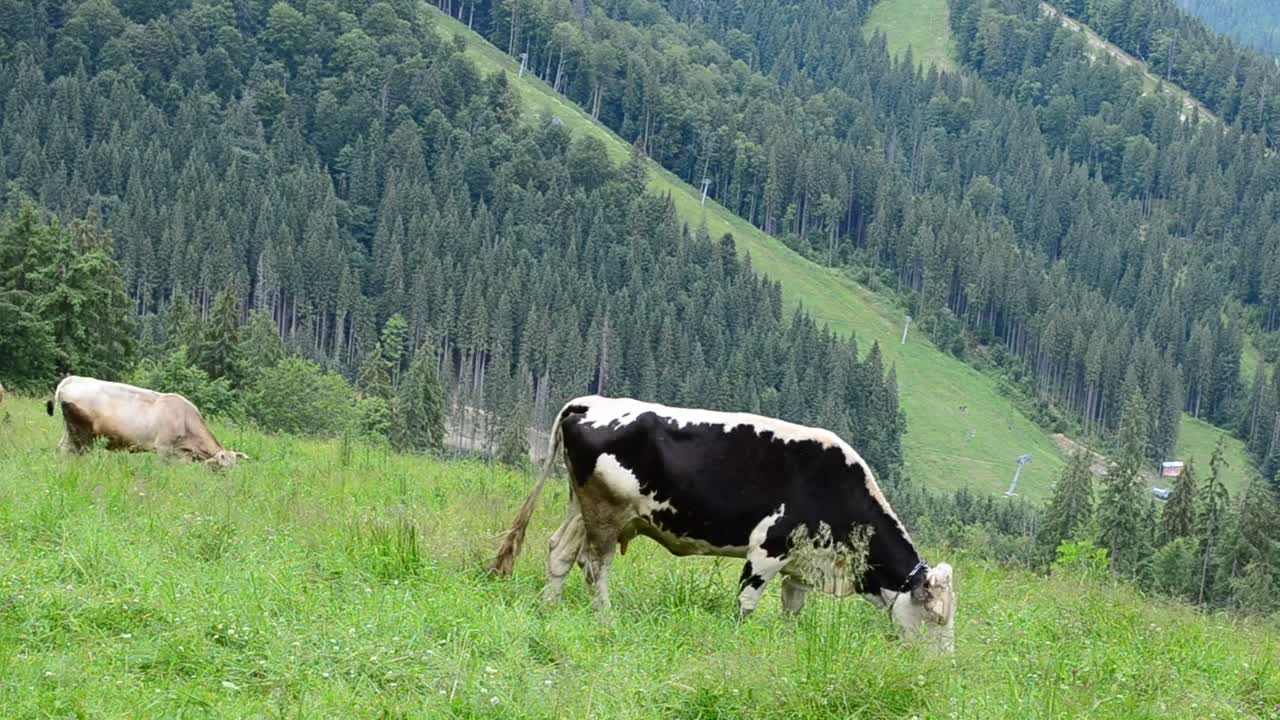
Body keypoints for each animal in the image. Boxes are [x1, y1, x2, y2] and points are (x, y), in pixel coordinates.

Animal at [46, 371, 245, 468]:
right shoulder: (163, 448)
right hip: (82, 432)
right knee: (74, 451)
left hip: (71, 430)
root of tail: (71, 379)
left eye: (235, 466)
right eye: (223, 466)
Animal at [494, 394, 957, 648]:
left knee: (560, 552)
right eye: (937, 619)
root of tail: (594, 402)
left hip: (583, 506)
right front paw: (735, 640)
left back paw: (549, 609)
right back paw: (605, 620)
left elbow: (792, 611)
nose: (941, 665)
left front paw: (787, 645)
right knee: (594, 567)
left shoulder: (801, 566)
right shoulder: (767, 550)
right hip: (607, 513)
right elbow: (745, 604)